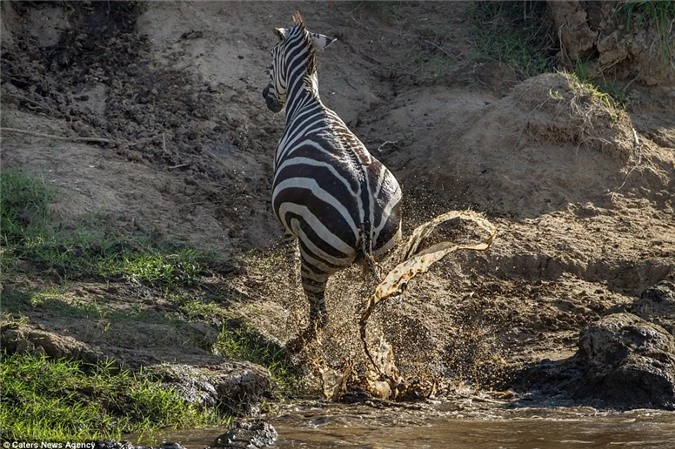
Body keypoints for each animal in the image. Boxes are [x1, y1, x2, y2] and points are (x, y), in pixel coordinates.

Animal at [262, 13, 402, 344]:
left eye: (270, 61)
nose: (267, 100)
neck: (307, 99)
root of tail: (365, 217)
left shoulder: (286, 216)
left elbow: (288, 250)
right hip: (385, 257)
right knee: (367, 309)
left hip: (315, 257)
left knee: (320, 315)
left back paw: (297, 343)